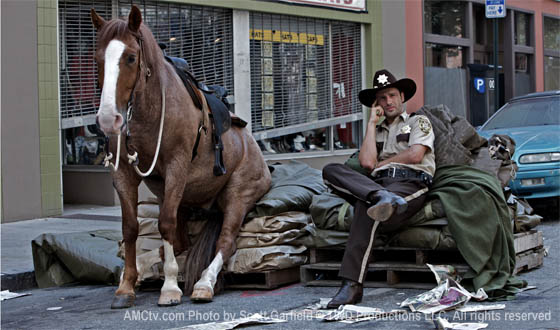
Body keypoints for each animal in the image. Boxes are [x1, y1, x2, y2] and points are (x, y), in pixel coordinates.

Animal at [91, 6, 270, 308]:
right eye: (97, 58)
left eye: (130, 57)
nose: (107, 119)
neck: (149, 113)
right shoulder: (123, 173)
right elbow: (130, 228)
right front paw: (126, 286)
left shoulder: (176, 167)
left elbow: (165, 224)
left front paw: (170, 287)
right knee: (181, 242)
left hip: (239, 195)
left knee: (226, 241)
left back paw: (204, 283)